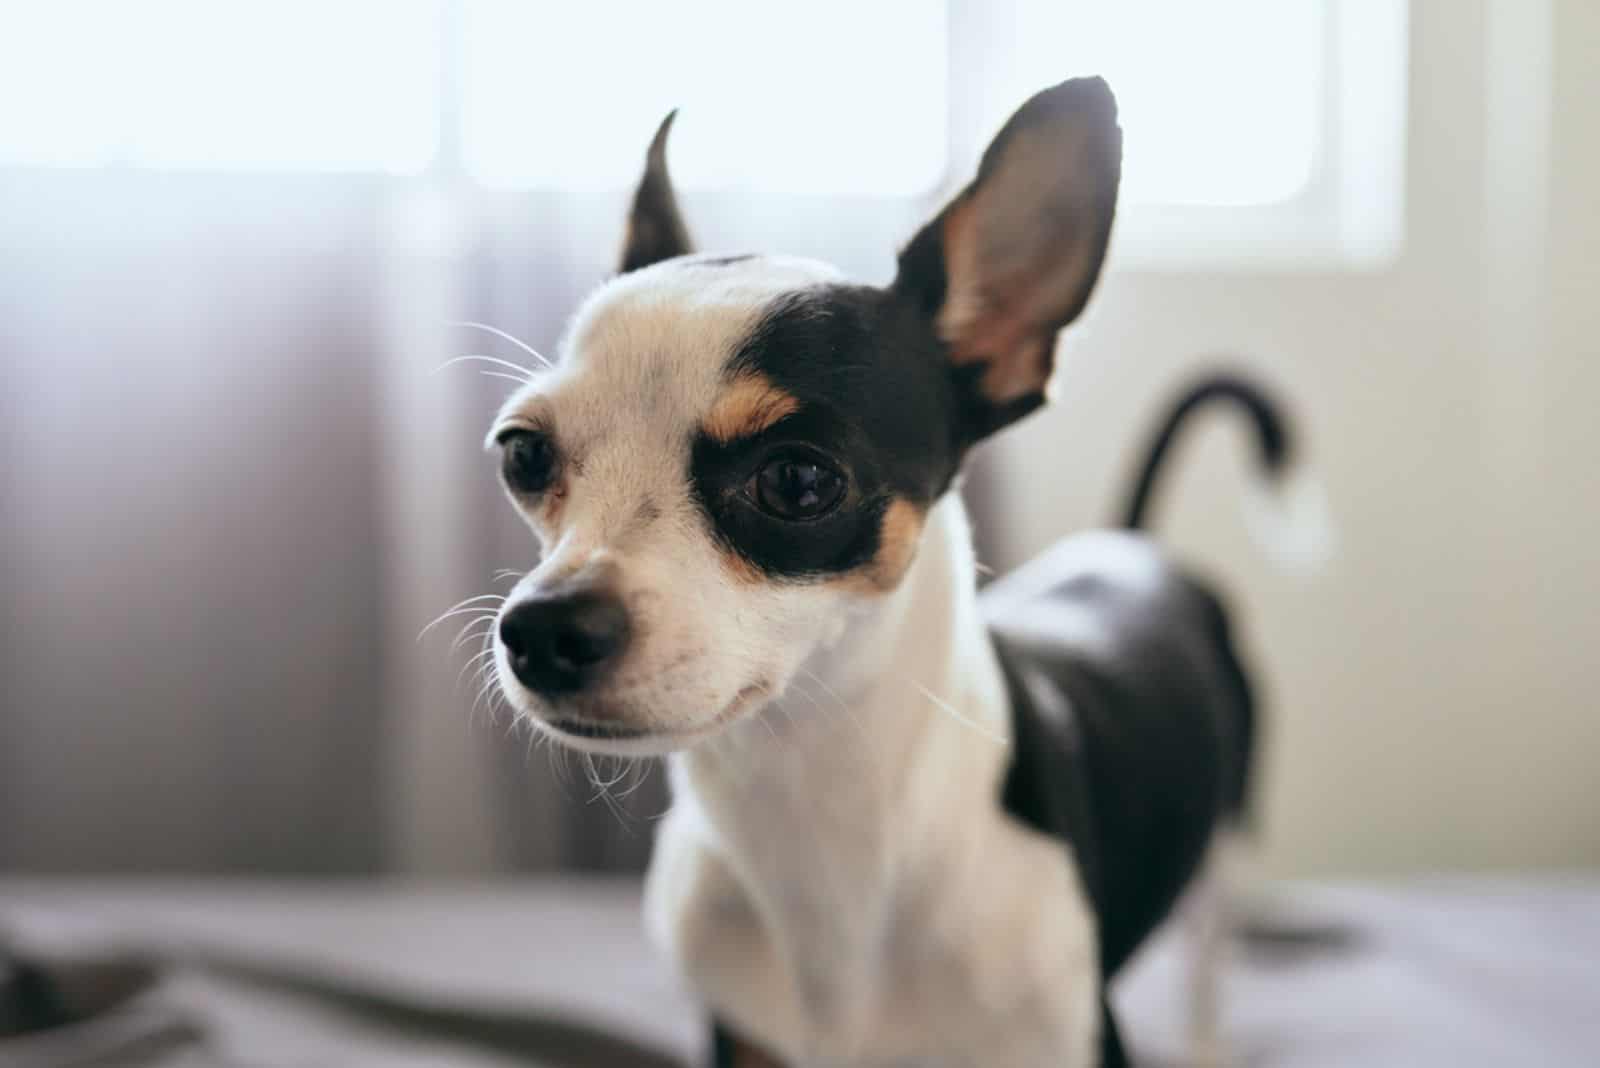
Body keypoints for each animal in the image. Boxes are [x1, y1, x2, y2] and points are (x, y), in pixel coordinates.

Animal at [483, 79, 1299, 1061]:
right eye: (524, 455)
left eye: (799, 480)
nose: (542, 630)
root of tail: (1128, 546)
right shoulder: (742, 1034)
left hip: (1228, 847)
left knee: (1211, 961)